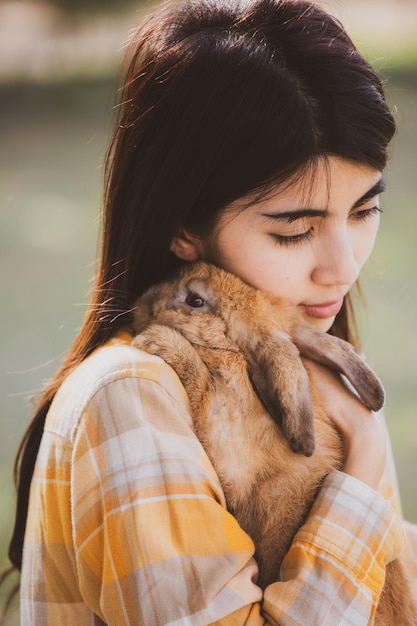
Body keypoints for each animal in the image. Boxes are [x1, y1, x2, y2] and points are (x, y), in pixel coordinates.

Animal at [132, 260, 414, 620]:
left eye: (195, 300)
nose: (141, 303)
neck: (234, 356)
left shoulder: (224, 433)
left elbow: (199, 378)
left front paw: (157, 342)